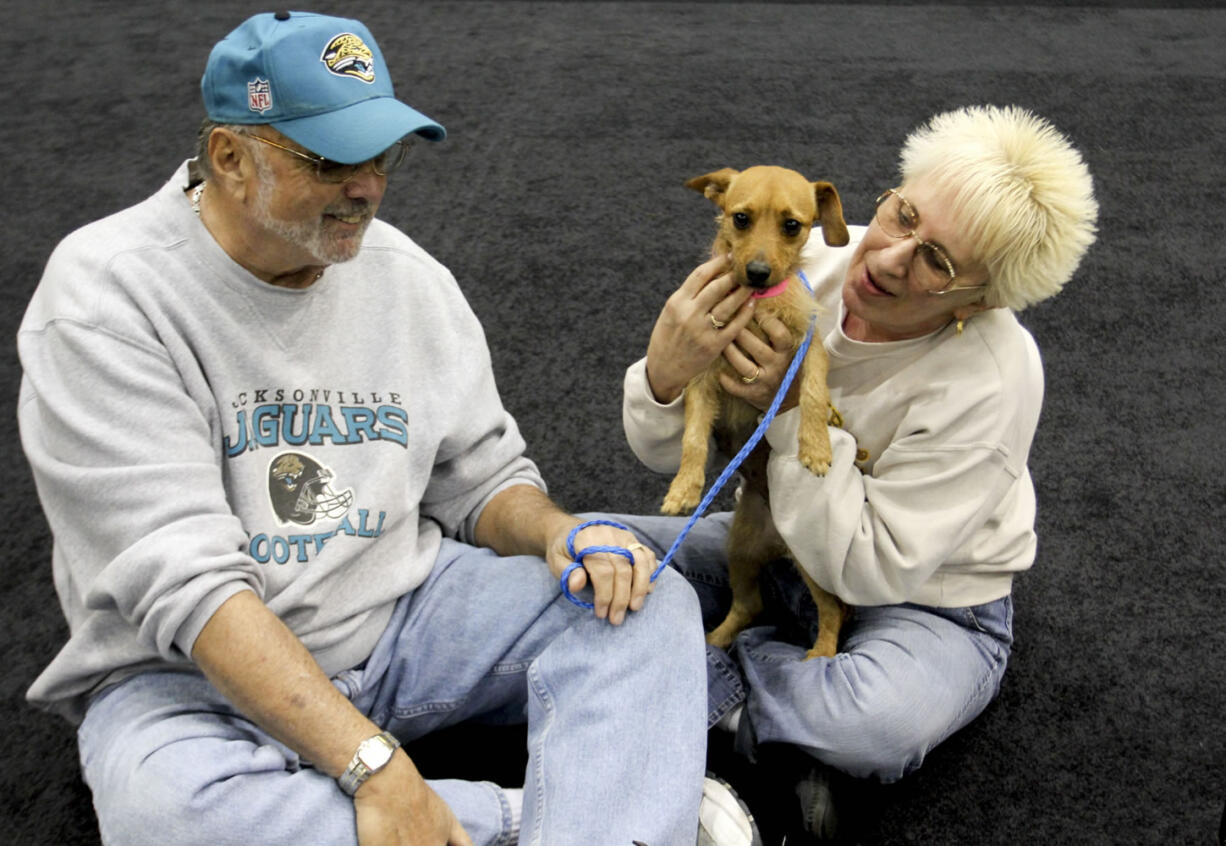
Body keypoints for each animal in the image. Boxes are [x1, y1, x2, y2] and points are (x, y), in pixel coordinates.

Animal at [666, 161, 848, 657]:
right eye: (741, 218)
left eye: (792, 226)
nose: (759, 272)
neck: (755, 304)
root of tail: (777, 542)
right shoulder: (700, 376)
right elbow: (692, 438)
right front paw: (685, 487)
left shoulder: (809, 348)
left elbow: (812, 394)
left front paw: (816, 447)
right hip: (740, 549)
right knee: (750, 605)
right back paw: (715, 639)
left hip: (811, 565)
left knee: (834, 610)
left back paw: (820, 654)